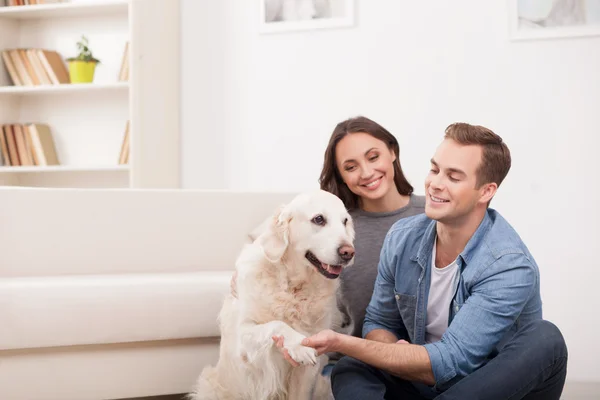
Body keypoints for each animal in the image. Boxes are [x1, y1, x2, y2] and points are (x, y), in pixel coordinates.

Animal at [190, 190, 354, 400]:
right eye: (319, 219)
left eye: (345, 221)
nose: (348, 252)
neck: (293, 287)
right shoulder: (244, 342)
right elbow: (277, 324)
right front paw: (298, 345)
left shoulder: (309, 370)